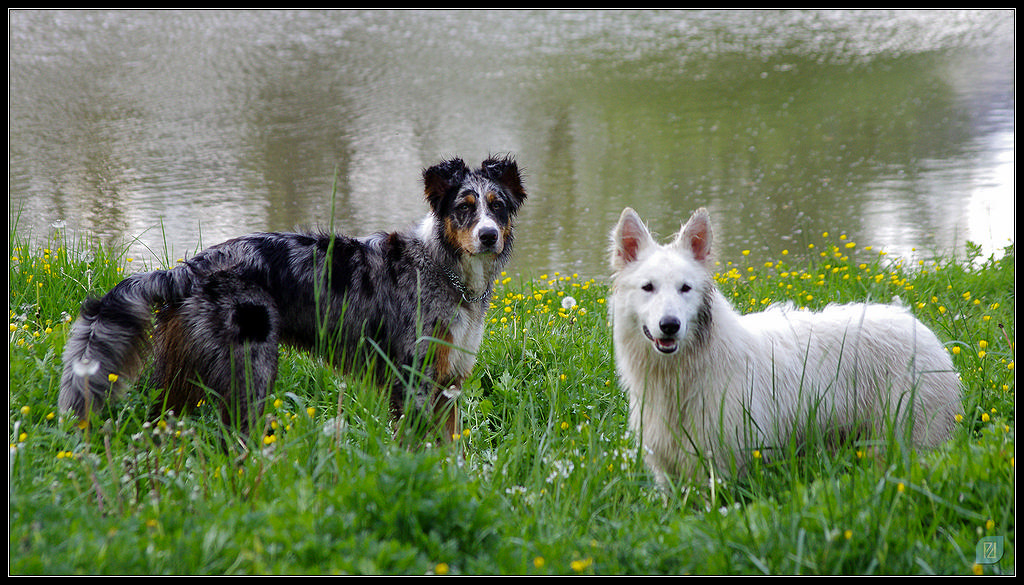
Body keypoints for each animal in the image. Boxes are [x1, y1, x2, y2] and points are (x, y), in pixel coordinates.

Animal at [58, 155, 528, 438]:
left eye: (497, 205)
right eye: (463, 207)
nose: (488, 235)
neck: (444, 269)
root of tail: (191, 266)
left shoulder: (450, 381)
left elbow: (450, 449)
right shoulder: (412, 379)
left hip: (183, 378)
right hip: (251, 369)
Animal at [610, 206, 962, 485]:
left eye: (685, 288)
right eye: (648, 287)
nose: (670, 325)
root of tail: (922, 330)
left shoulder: (720, 465)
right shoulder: (668, 470)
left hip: (908, 437)